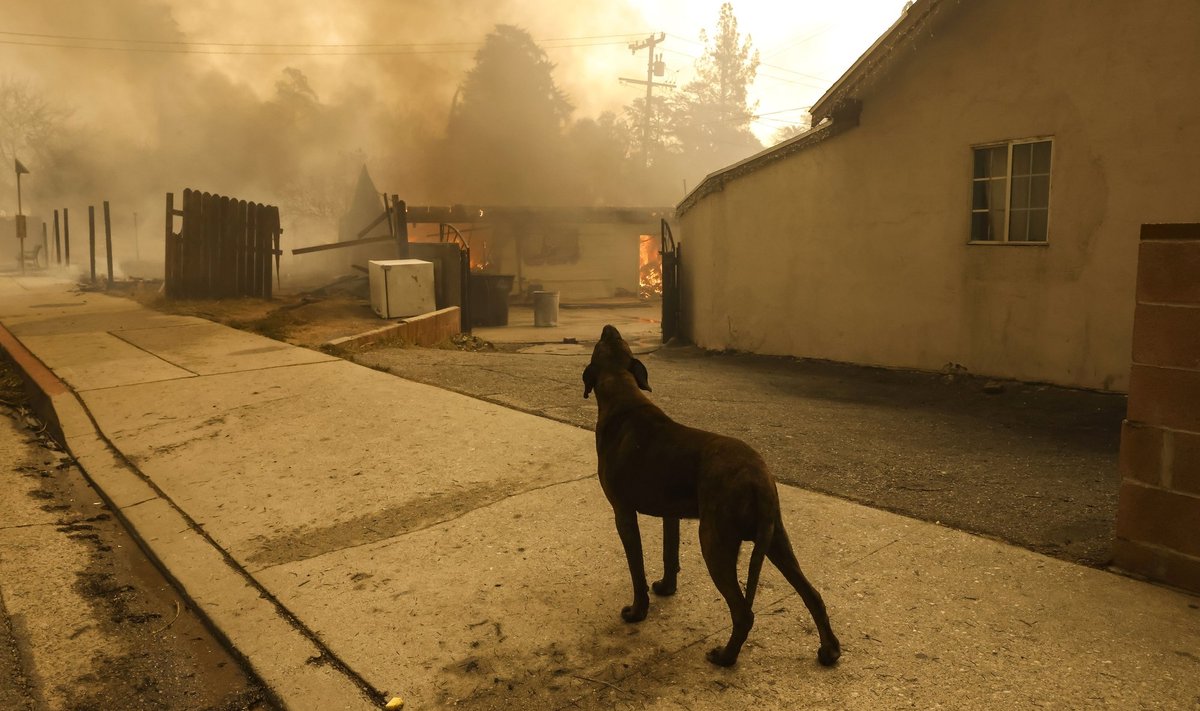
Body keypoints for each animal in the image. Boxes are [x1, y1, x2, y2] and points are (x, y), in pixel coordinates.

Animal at [583, 324, 844, 667]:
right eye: (615, 341)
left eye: (601, 343)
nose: (609, 327)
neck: (623, 393)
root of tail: (758, 478)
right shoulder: (671, 514)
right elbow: (669, 554)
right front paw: (666, 588)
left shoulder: (623, 513)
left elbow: (636, 569)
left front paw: (637, 611)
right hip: (775, 539)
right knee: (812, 594)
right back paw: (829, 650)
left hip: (714, 541)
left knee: (744, 612)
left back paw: (726, 656)